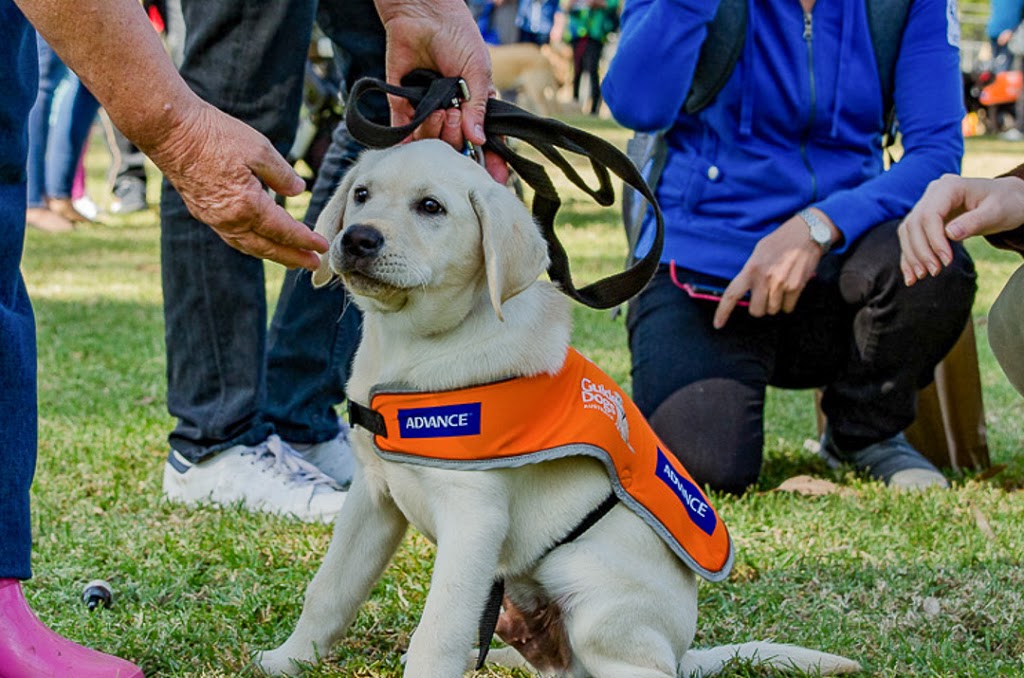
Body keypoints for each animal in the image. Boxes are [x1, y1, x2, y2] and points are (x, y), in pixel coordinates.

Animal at [251, 140, 860, 675]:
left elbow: (439, 628)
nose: (357, 239)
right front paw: (289, 660)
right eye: (361, 194)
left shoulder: (474, 516)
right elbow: (330, 589)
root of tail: (683, 650)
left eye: (431, 207)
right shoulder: (373, 497)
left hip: (586, 580)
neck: (415, 346)